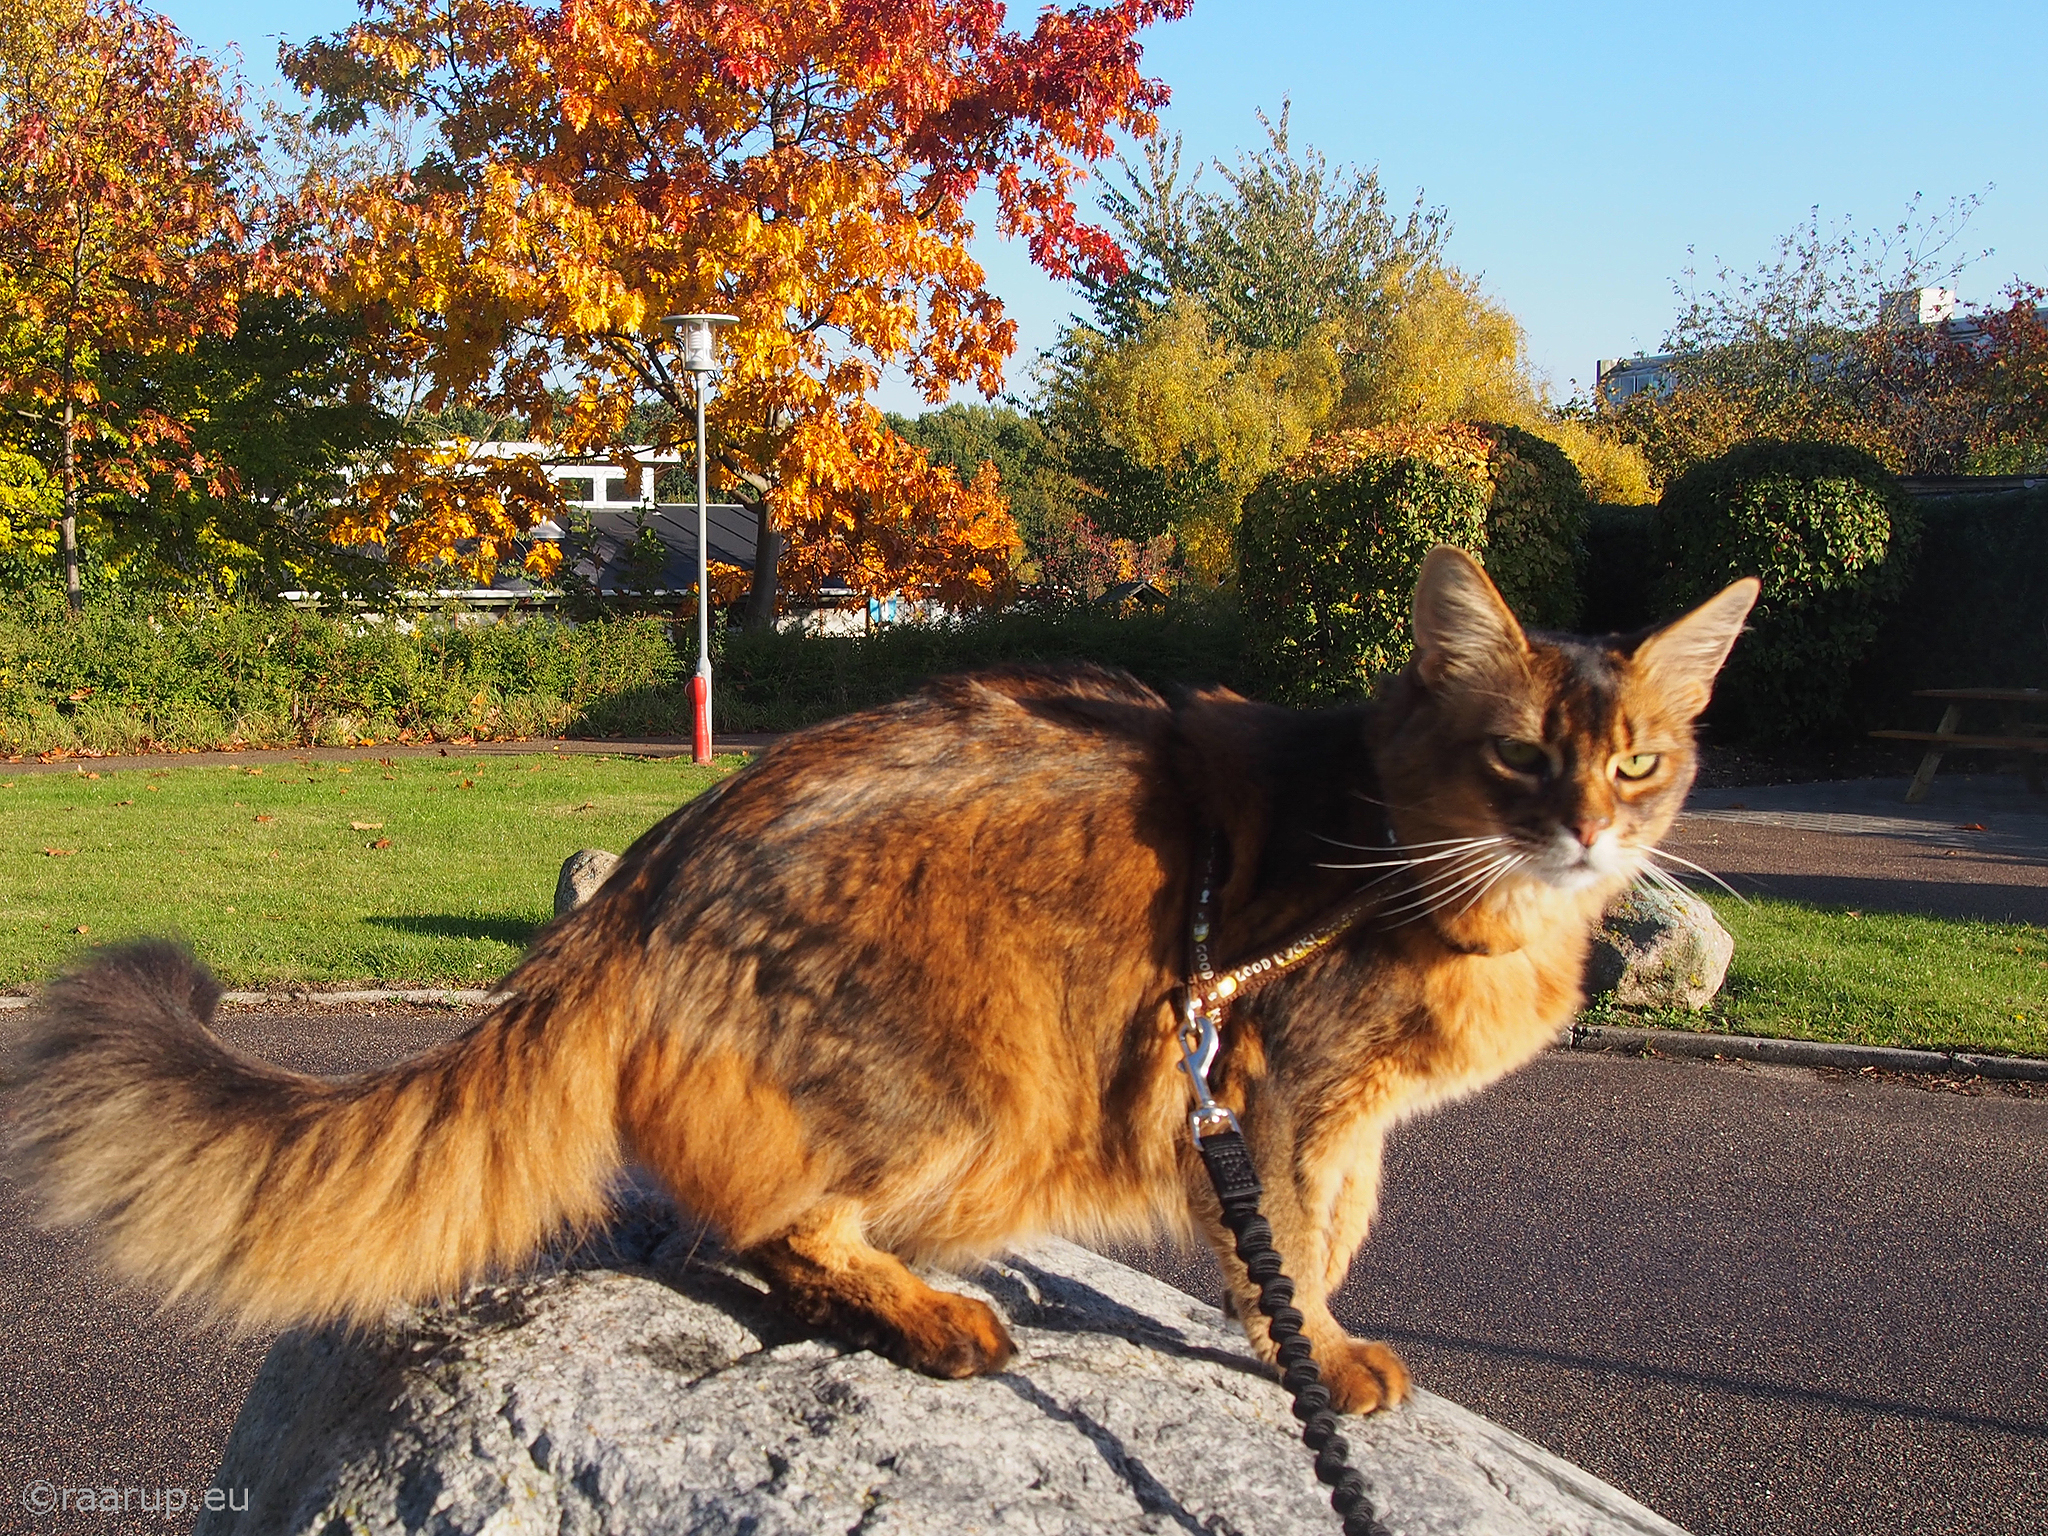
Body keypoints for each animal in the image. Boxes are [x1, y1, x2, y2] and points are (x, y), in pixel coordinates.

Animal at [4, 548, 1761, 1417]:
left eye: (1641, 762)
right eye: (1520, 758)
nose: (1590, 832)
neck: (1421, 856)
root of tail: (649, 869)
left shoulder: (1328, 1112)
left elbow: (1320, 1237)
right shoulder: (1293, 1090)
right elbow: (1298, 1249)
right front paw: (1315, 1356)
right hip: (972, 1077)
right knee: (771, 1226)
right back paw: (930, 1313)